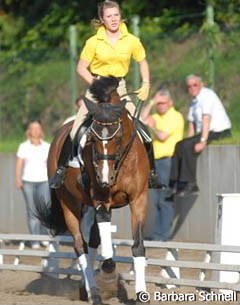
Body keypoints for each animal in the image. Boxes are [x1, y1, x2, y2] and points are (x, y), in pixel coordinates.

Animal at [82, 76, 150, 300]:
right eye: (92, 139)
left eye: (119, 138)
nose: (105, 178)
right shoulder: (100, 198)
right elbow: (104, 229)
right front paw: (109, 266)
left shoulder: (139, 199)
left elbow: (138, 246)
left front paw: (141, 293)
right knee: (82, 245)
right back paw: (92, 289)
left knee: (92, 241)